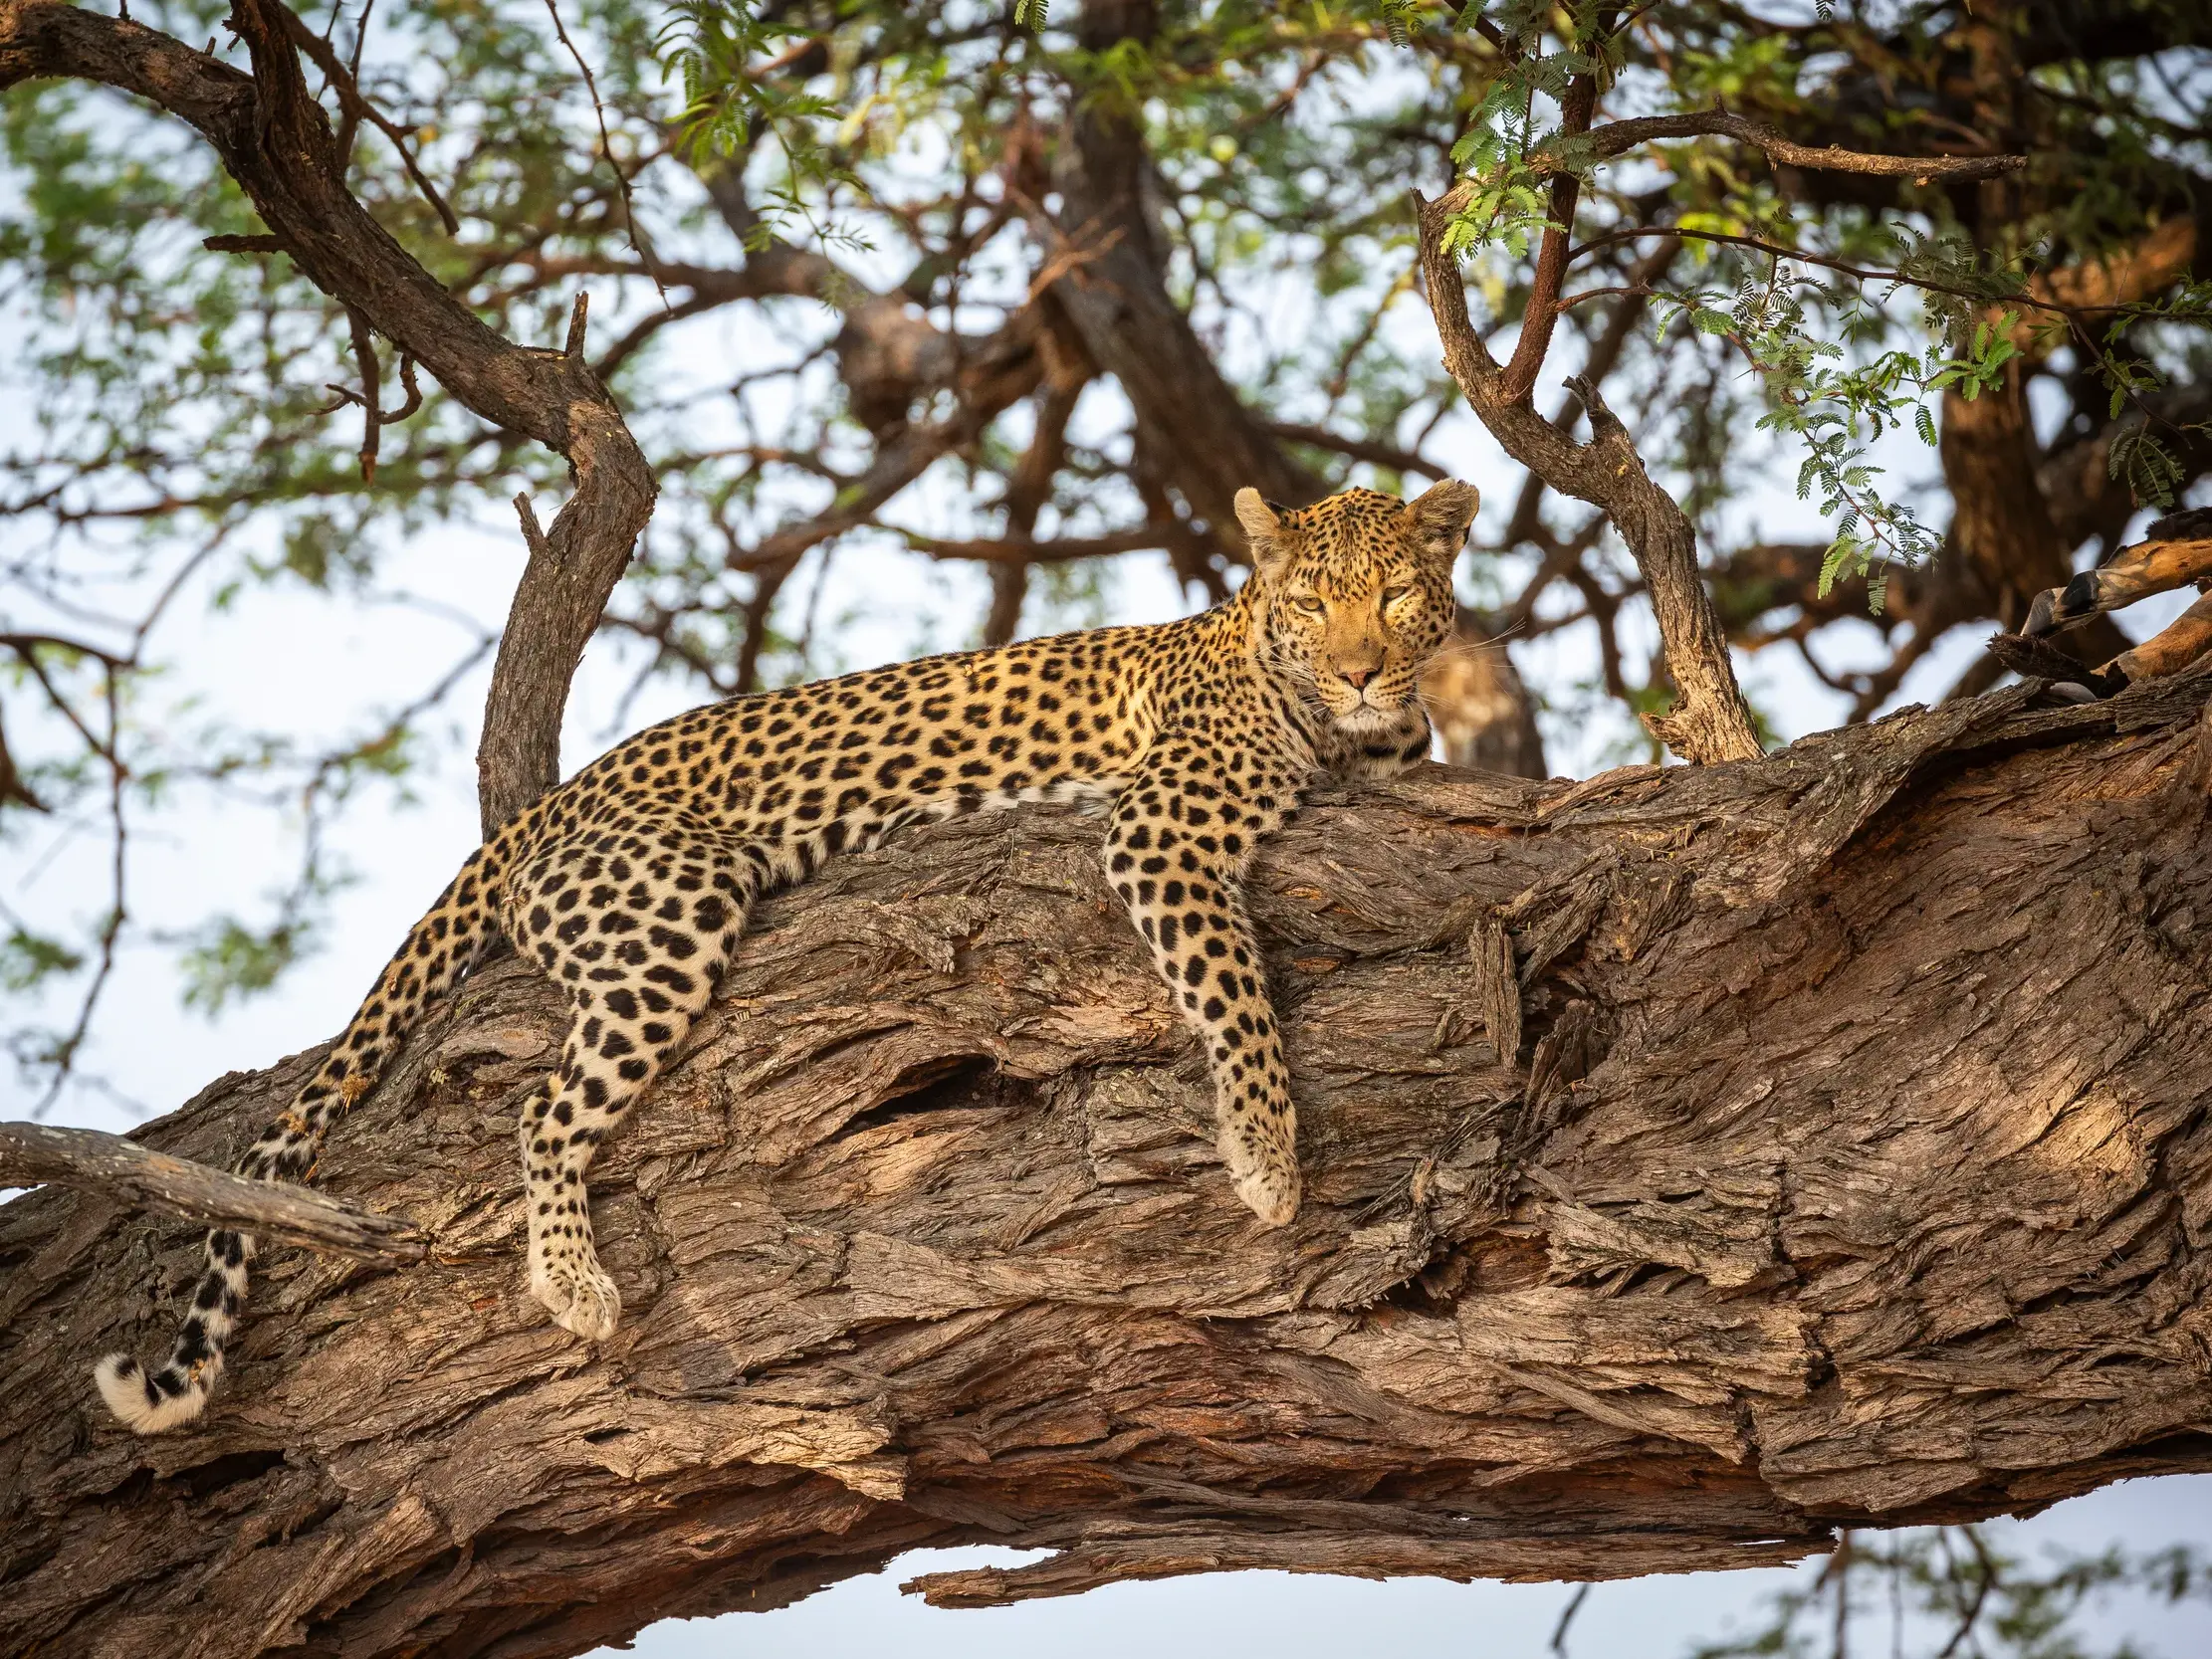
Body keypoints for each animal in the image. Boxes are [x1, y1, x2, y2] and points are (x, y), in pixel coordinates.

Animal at [94, 477, 1480, 1434]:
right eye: (1312, 601)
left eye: (1393, 598)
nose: (1361, 668)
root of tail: (554, 802)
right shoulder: (1159, 828)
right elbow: (1234, 993)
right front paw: (1264, 1156)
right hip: (670, 907)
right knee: (543, 1107)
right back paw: (575, 1282)